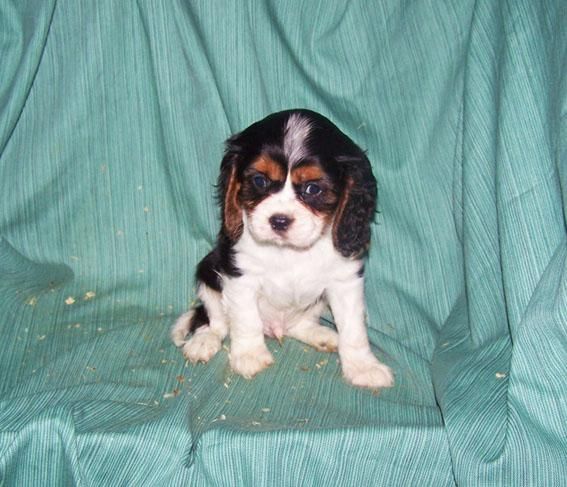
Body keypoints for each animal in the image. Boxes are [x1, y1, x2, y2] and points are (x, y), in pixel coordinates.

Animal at [172, 109, 394, 388]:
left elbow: (353, 329)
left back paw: (323, 336)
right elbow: (245, 319)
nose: (279, 220)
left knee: (298, 326)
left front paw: (363, 367)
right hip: (208, 270)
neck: (291, 251)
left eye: (312, 188)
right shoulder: (239, 275)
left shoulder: (345, 281)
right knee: (217, 321)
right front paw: (250, 356)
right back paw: (204, 340)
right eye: (259, 181)